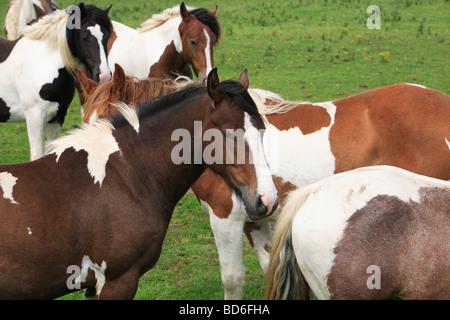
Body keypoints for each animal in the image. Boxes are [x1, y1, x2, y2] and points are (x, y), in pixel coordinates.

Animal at [0, 4, 112, 161]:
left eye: (107, 37)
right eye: (84, 37)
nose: (104, 76)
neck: (42, 63)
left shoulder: (57, 118)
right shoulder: (34, 118)